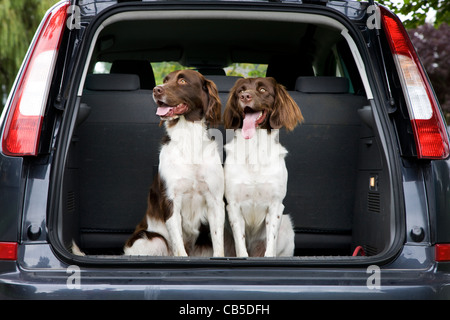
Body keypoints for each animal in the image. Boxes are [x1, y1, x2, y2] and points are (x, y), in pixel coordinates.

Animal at [124, 70, 225, 258]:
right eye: (165, 80)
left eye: (182, 80)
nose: (156, 89)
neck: (188, 137)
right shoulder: (171, 200)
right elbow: (178, 245)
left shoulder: (215, 200)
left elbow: (218, 242)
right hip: (154, 240)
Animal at [222, 76, 302, 256]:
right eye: (241, 90)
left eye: (263, 90)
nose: (245, 96)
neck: (255, 147)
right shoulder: (233, 206)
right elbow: (241, 246)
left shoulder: (275, 205)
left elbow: (270, 246)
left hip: (286, 225)